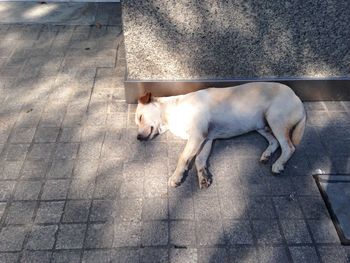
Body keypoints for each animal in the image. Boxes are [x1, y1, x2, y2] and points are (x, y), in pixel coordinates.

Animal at [135, 82, 304, 190]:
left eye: (140, 118)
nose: (138, 138)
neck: (171, 112)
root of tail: (297, 97)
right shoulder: (206, 139)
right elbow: (199, 159)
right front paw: (203, 176)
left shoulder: (197, 135)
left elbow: (183, 157)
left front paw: (176, 177)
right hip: (261, 126)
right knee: (275, 142)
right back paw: (267, 155)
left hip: (275, 120)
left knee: (288, 147)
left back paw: (278, 164)